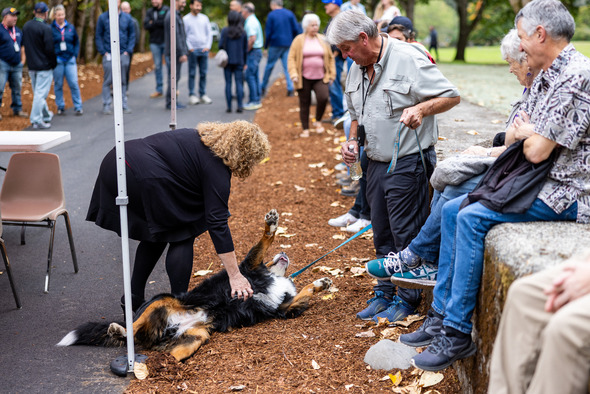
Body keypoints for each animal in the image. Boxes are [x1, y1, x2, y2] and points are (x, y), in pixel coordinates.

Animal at [57, 211, 336, 362]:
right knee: (130, 330)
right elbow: (263, 241)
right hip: (162, 300)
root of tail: (167, 330)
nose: (285, 253)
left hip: (195, 338)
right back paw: (118, 330)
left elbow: (304, 292)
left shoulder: (284, 307)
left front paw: (321, 284)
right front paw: (272, 224)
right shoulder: (249, 265)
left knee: (163, 353)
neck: (273, 276)